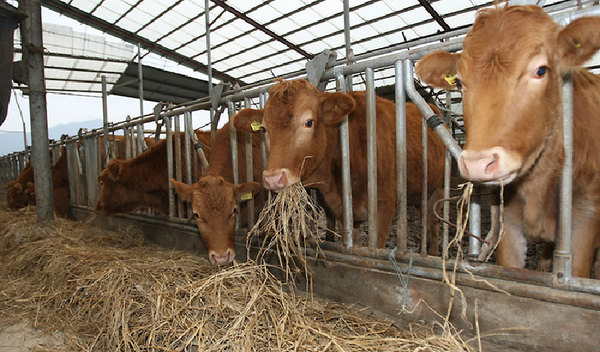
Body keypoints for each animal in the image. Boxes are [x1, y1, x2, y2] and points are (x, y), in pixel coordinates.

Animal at [232, 80, 448, 250]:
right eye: (264, 129)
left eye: (309, 122)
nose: (273, 177)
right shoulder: (344, 211)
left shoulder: (385, 207)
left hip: (438, 188)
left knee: (434, 222)